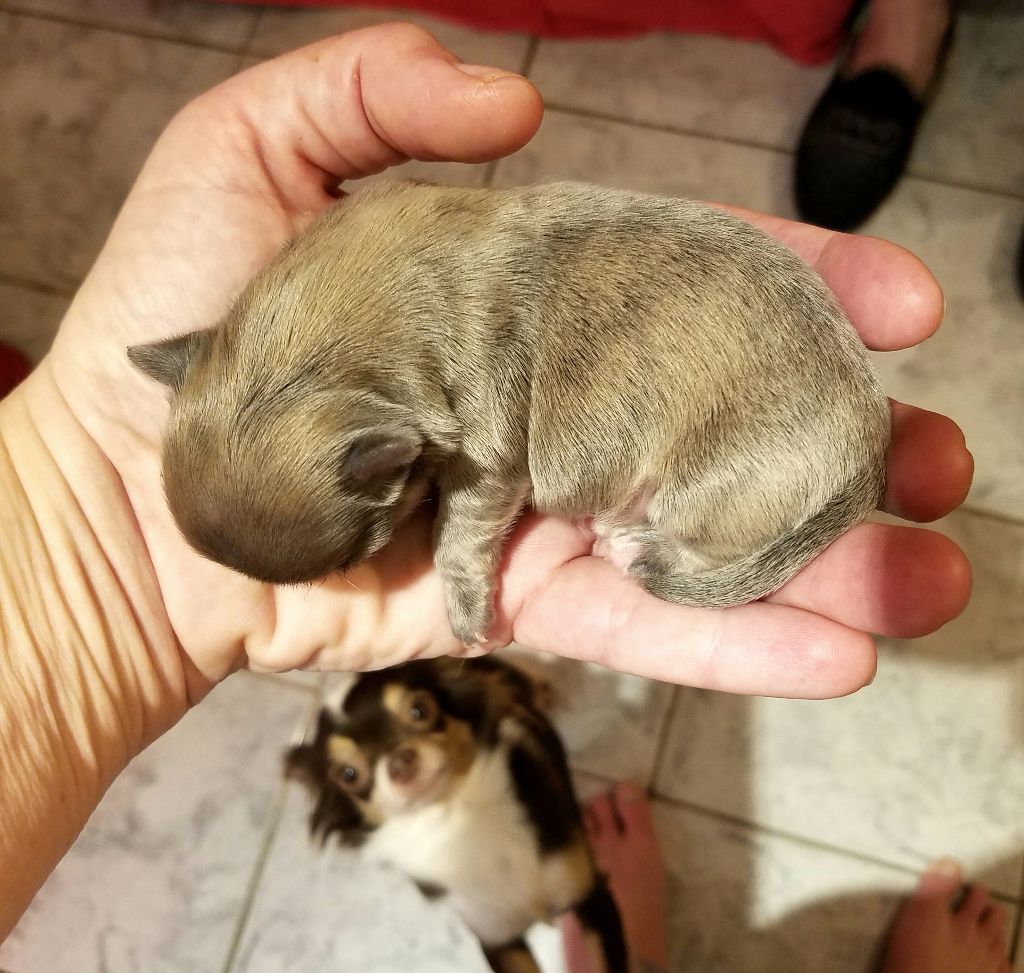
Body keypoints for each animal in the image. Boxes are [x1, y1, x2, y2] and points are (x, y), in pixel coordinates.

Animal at [128, 180, 890, 642]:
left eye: (360, 554)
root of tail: (871, 451)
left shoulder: (490, 459)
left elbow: (459, 534)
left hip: (711, 486)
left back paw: (635, 543)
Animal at [285, 656, 628, 973]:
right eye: (348, 774)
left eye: (419, 711)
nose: (399, 762)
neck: (456, 817)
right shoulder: (497, 937)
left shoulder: (590, 897)